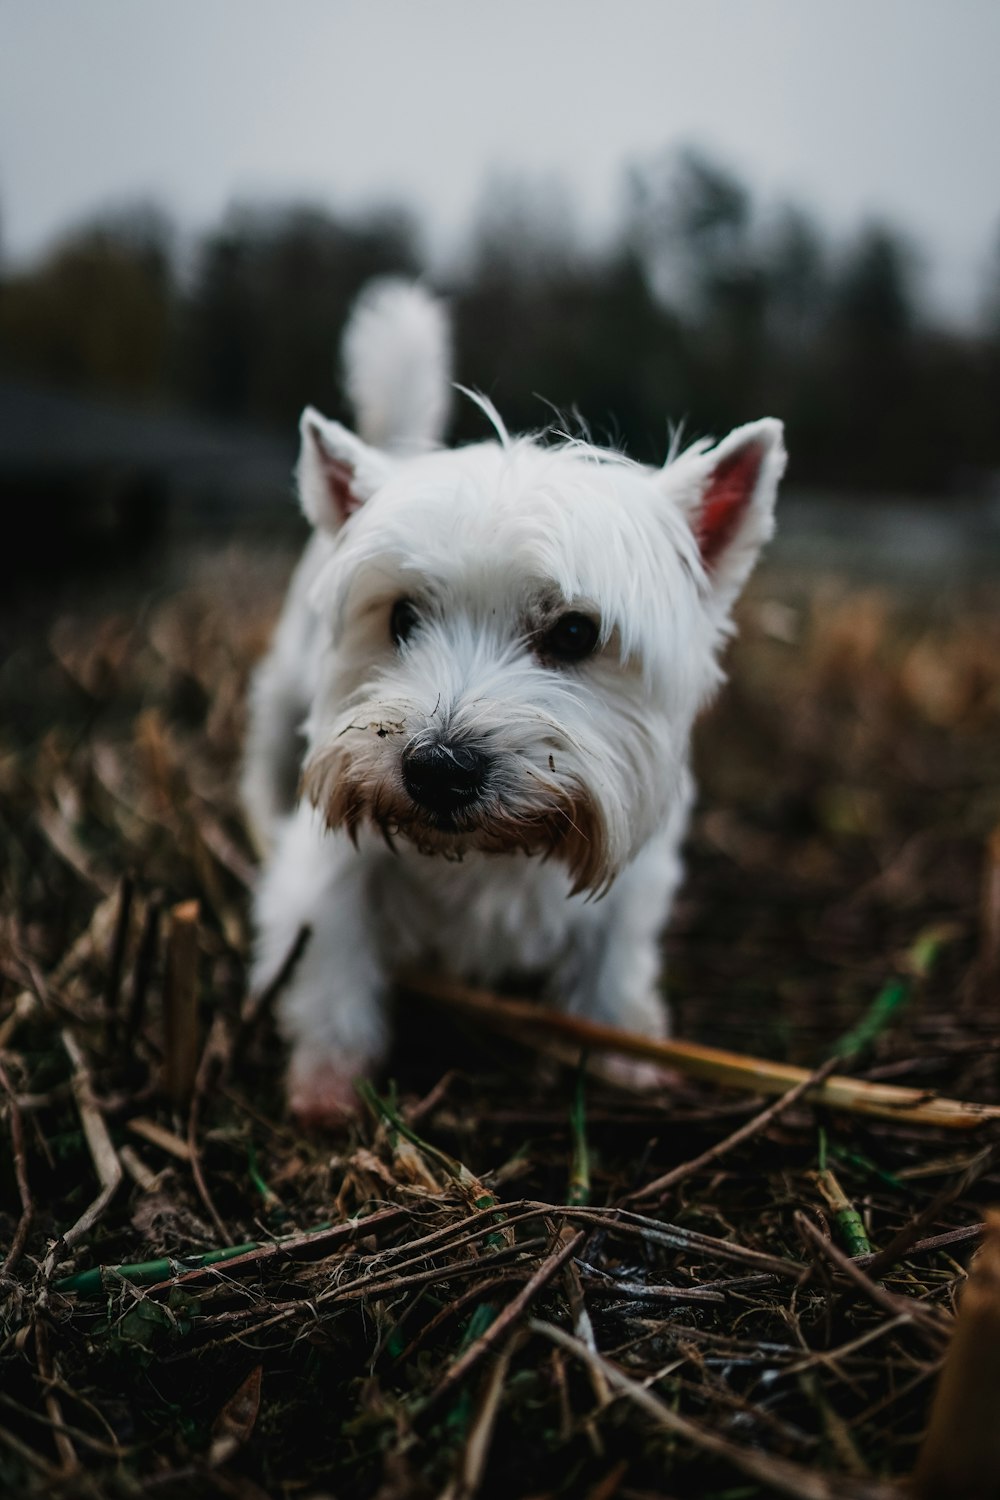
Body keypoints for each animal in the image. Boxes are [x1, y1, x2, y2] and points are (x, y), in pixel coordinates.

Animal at [245, 282, 785, 1128]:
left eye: (575, 631)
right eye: (401, 617)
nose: (438, 768)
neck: (484, 852)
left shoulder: (634, 875)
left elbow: (612, 971)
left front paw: (629, 1057)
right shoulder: (329, 875)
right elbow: (333, 972)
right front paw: (326, 1087)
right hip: (281, 706)